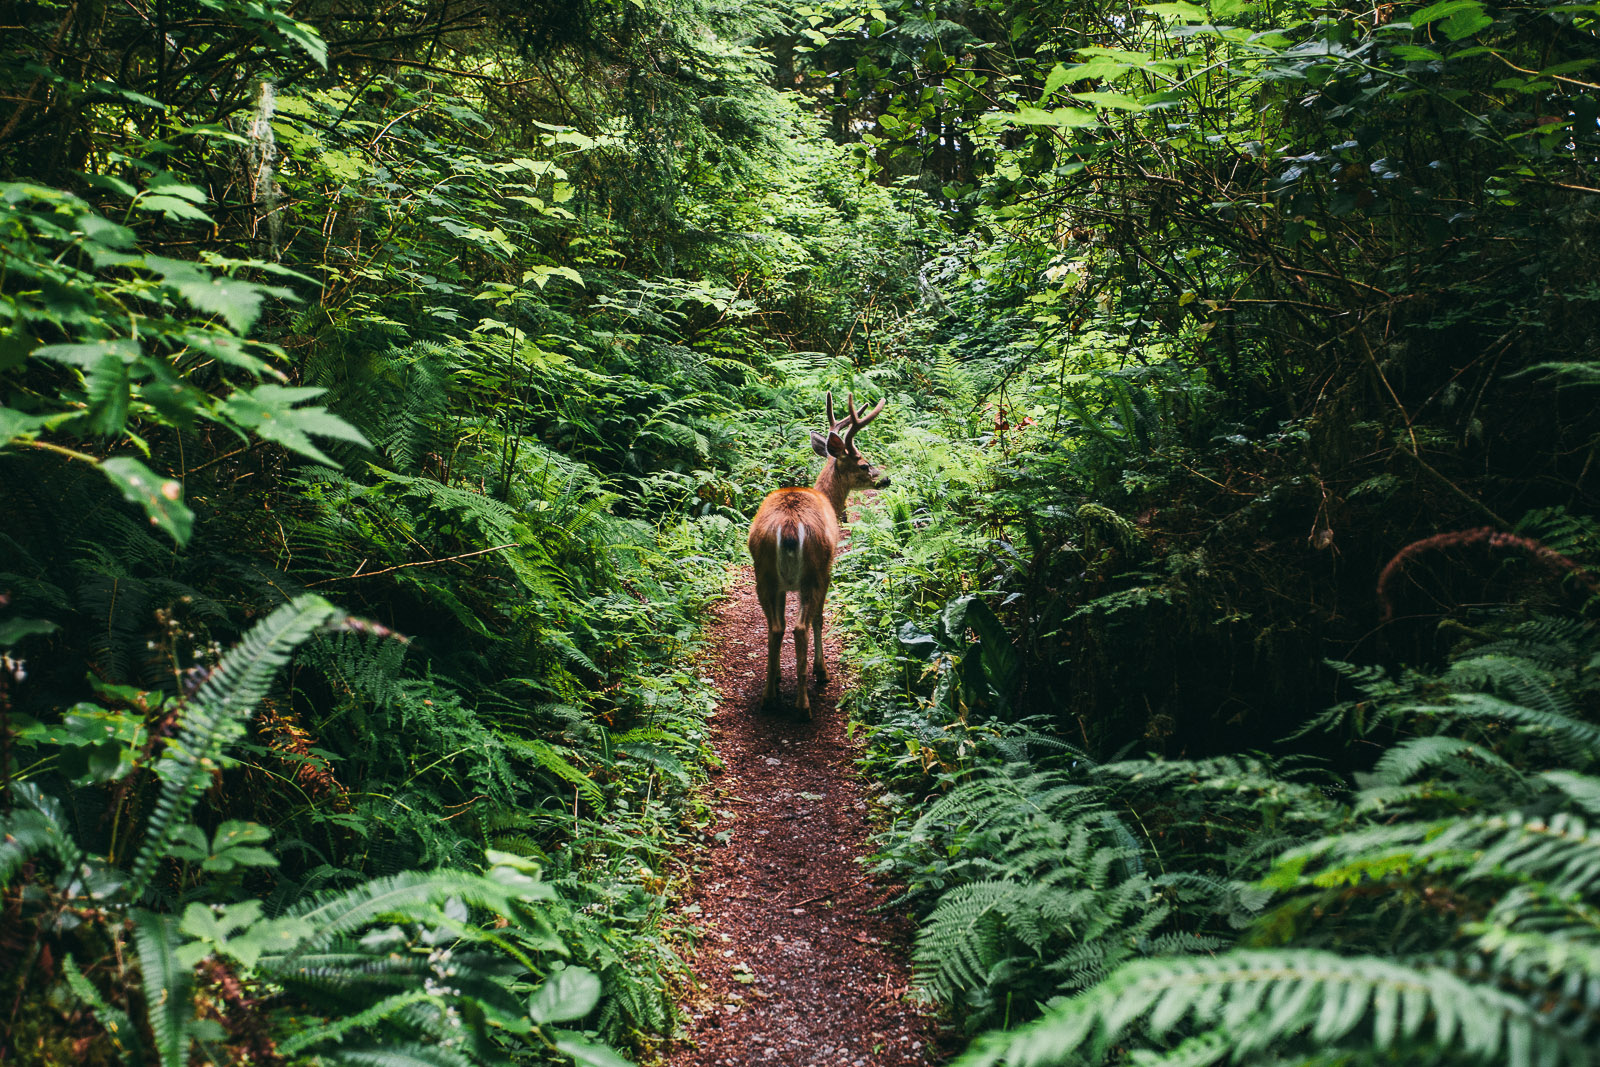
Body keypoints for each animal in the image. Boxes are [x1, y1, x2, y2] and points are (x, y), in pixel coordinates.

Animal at [745, 391, 889, 716]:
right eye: (864, 464)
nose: (885, 479)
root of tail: (787, 527)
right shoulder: (828, 568)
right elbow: (820, 619)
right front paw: (820, 671)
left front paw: (778, 677)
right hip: (813, 569)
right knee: (801, 627)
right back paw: (803, 706)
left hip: (764, 573)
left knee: (775, 628)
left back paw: (769, 696)